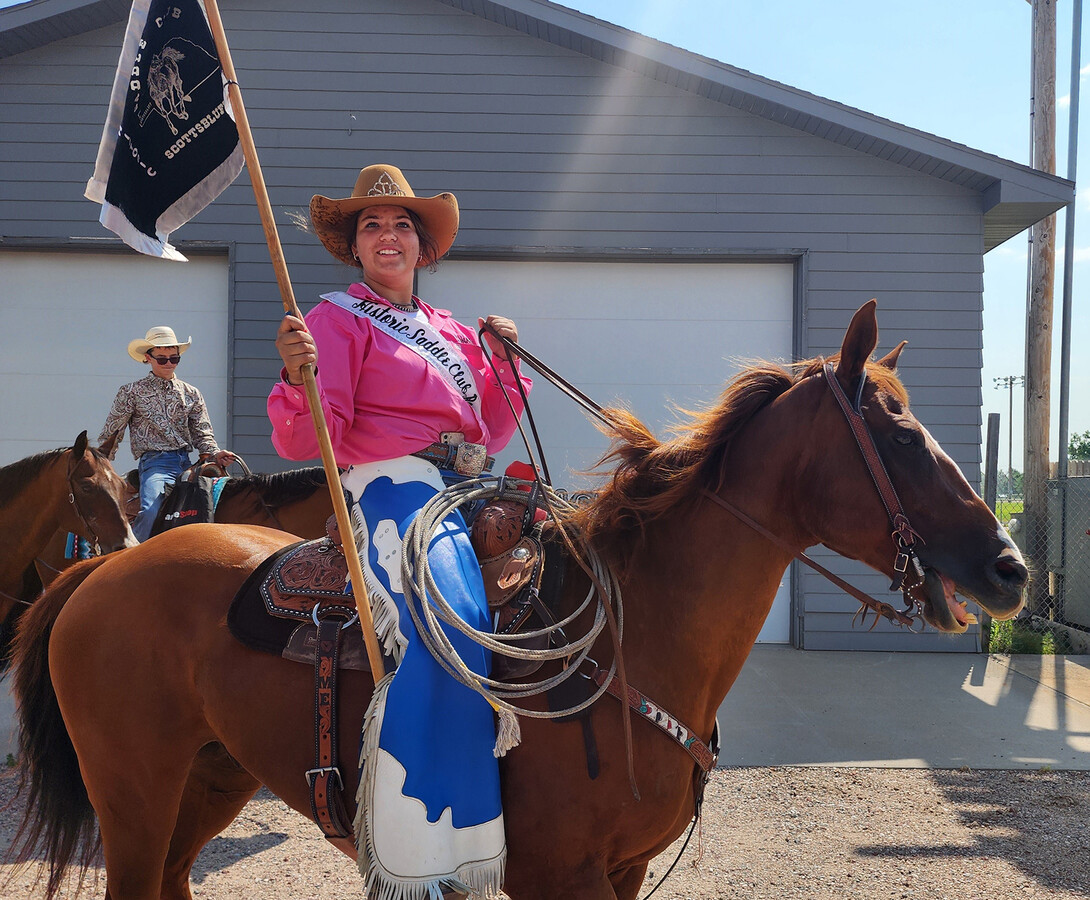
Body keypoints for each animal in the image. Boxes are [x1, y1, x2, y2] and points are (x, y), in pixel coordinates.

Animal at [12, 302, 1024, 897]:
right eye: (899, 436)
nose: (1009, 567)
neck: (634, 638)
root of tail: (103, 570)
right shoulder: (561, 876)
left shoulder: (625, 870)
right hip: (133, 796)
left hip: (209, 782)